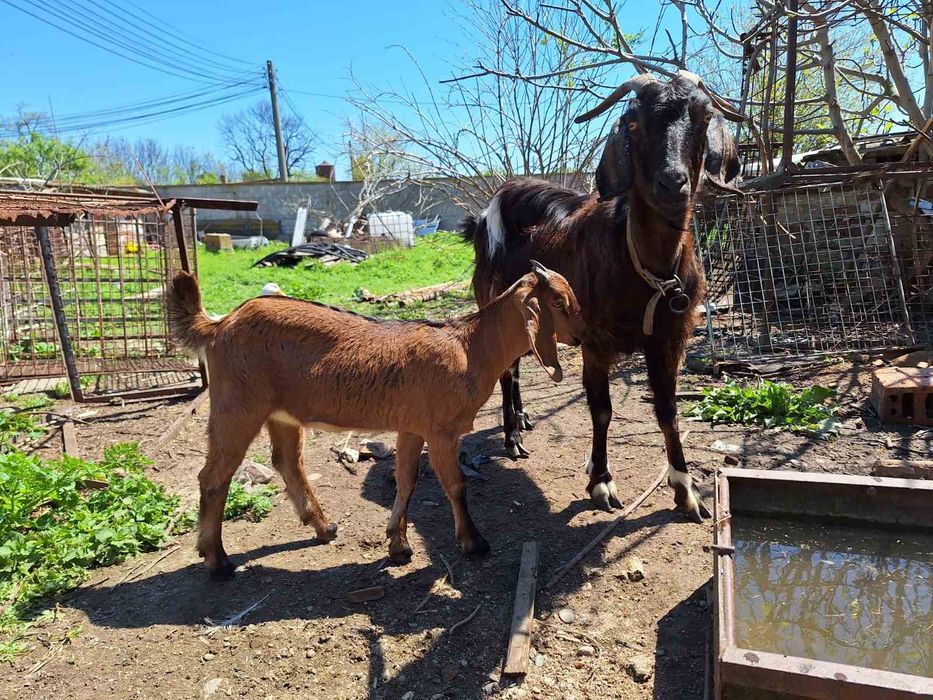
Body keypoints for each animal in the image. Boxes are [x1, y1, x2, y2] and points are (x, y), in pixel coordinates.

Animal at [166, 263, 584, 577]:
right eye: (559, 302)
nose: (581, 336)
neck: (469, 347)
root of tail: (219, 325)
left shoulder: (412, 427)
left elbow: (407, 482)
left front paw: (398, 545)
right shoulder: (441, 430)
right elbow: (455, 485)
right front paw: (473, 542)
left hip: (281, 414)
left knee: (287, 462)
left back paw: (324, 527)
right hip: (238, 405)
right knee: (214, 477)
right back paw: (218, 560)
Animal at [462, 71, 742, 521]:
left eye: (702, 117)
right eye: (634, 124)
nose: (672, 182)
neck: (647, 270)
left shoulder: (669, 339)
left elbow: (668, 410)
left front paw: (686, 490)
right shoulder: (594, 341)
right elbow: (602, 410)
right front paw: (602, 483)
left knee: (515, 364)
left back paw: (522, 418)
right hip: (493, 300)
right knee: (505, 368)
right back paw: (512, 439)